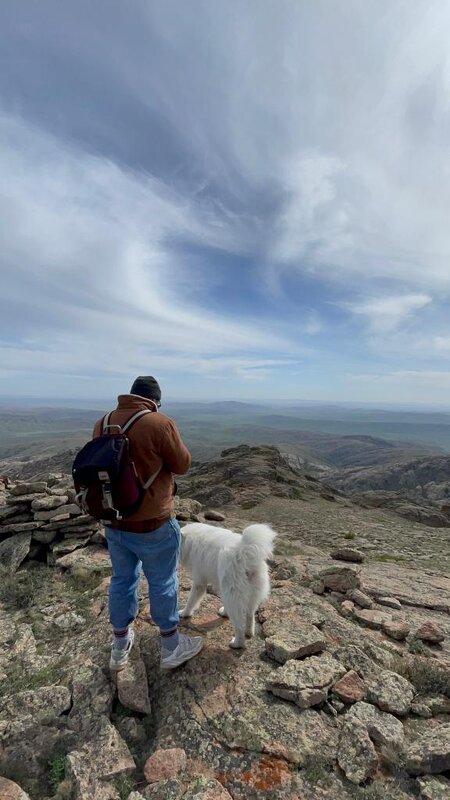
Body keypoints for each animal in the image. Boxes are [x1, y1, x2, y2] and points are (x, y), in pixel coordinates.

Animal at [178, 520, 276, 648]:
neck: (191, 540)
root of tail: (245, 552)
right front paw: (224, 612)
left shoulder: (199, 582)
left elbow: (191, 601)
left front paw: (184, 613)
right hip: (251, 595)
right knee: (250, 615)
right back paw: (249, 632)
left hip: (232, 594)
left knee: (239, 626)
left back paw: (237, 643)